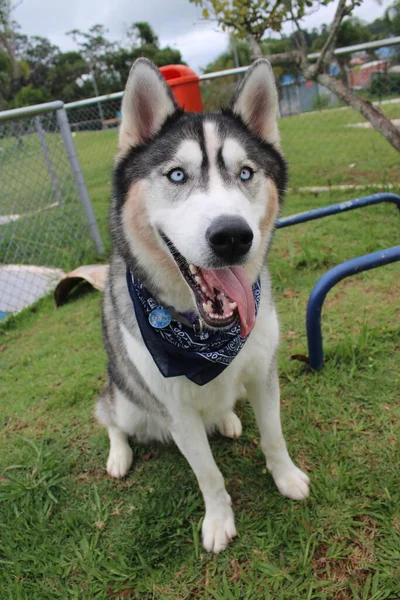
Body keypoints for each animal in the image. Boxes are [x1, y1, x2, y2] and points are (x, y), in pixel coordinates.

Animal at [96, 57, 310, 552]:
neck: (205, 336)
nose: (232, 236)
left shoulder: (263, 373)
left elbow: (274, 436)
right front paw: (218, 521)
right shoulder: (176, 410)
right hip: (129, 399)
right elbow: (208, 474)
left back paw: (228, 419)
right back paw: (118, 454)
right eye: (177, 175)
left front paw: (286, 477)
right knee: (109, 415)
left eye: (246, 173)